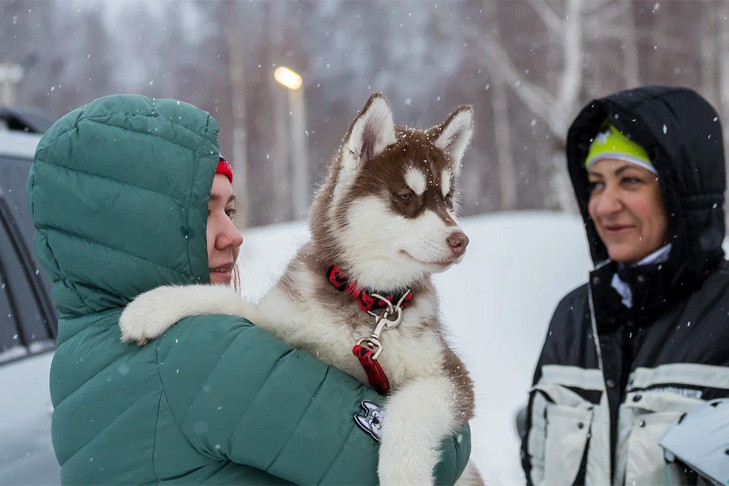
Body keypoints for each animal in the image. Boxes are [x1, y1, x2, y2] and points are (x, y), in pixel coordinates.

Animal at [119, 93, 480, 484]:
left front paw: (404, 475)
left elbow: (410, 408)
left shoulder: (450, 375)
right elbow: (226, 299)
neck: (370, 302)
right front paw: (152, 306)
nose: (461, 240)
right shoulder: (276, 322)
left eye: (447, 199)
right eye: (404, 196)